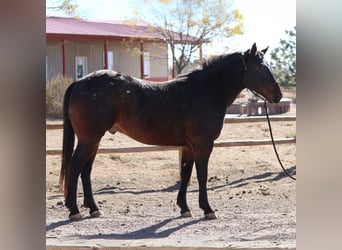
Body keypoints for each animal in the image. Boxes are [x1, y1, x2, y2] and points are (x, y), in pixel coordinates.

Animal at [59, 43, 284, 221]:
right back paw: (74, 211)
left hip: (94, 140)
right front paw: (207, 209)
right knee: (75, 166)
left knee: (86, 170)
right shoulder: (203, 145)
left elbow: (185, 174)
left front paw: (184, 208)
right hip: (89, 139)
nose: (278, 95)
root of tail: (79, 82)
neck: (205, 91)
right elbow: (201, 175)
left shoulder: (188, 147)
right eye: (260, 67)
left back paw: (93, 208)